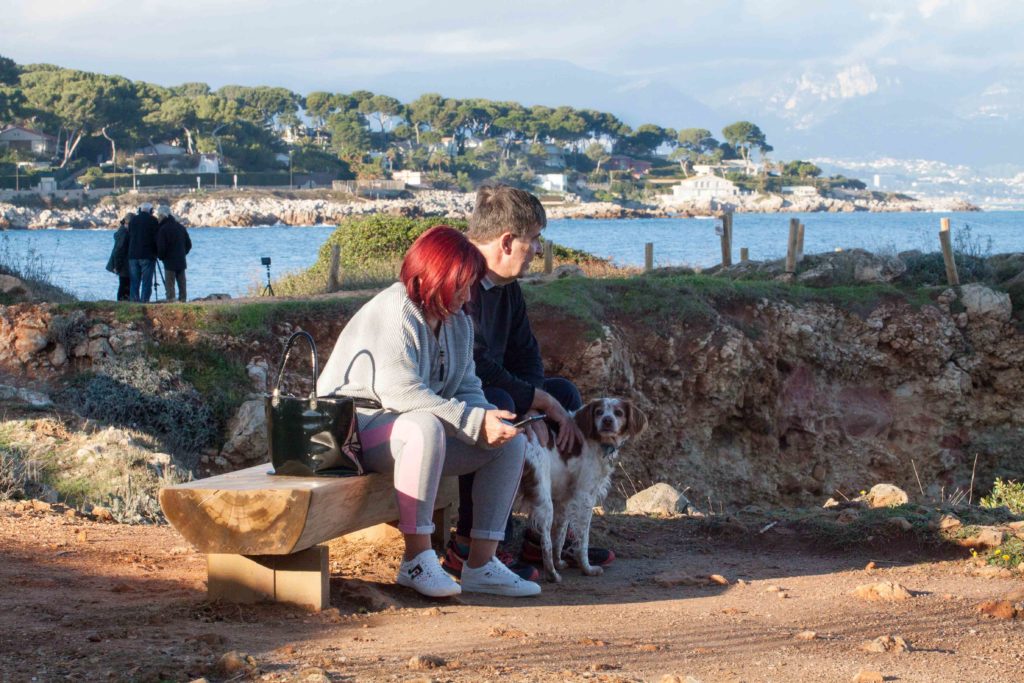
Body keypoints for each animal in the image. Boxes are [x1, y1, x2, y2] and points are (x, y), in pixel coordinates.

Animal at [520, 395, 647, 581]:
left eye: (618, 413)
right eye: (599, 412)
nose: (607, 420)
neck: (597, 440)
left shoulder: (564, 500)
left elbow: (560, 535)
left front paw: (560, 561)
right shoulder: (585, 496)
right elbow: (582, 539)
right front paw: (587, 568)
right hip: (544, 500)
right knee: (545, 542)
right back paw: (552, 574)